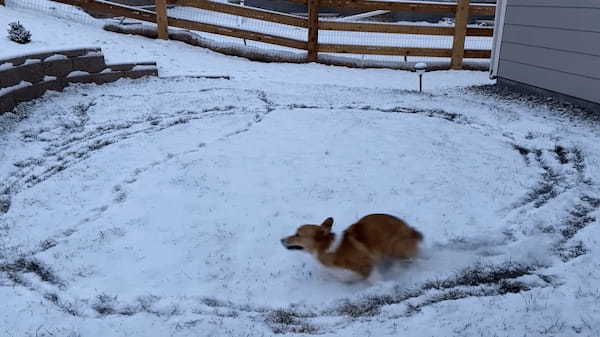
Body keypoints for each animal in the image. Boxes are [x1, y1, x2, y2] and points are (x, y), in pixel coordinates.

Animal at [280, 214, 422, 282]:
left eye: (298, 234)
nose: (281, 240)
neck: (326, 247)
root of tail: (412, 231)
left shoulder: (365, 264)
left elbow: (374, 279)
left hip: (394, 247)